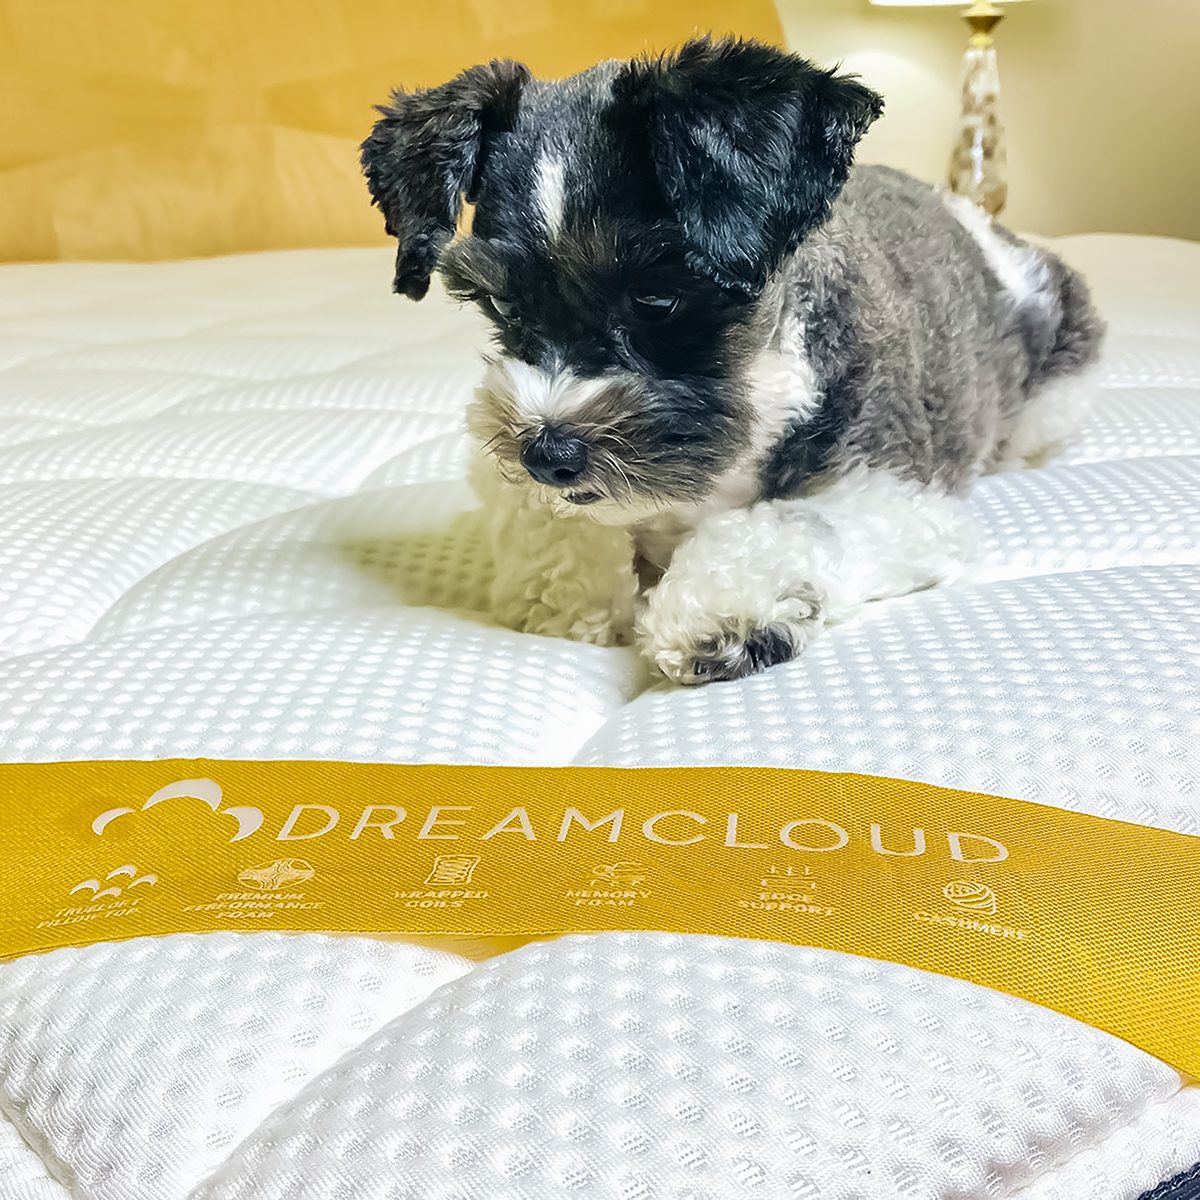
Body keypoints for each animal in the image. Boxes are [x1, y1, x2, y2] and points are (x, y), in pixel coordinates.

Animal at [360, 35, 1099, 686]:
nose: (547, 453)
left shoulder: (894, 490)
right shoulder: (508, 467)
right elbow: (545, 517)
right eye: (500, 305)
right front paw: (572, 598)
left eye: (658, 299)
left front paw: (719, 610)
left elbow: (791, 521)